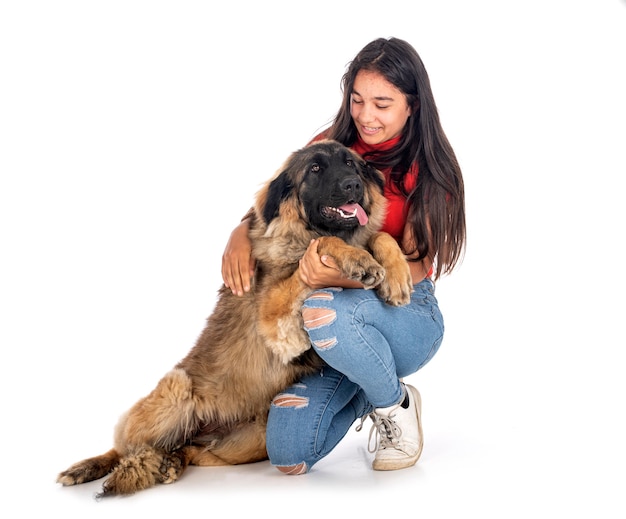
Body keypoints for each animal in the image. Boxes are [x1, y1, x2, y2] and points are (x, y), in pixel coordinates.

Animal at [56, 140, 412, 498]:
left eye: (351, 164)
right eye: (315, 169)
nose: (352, 185)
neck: (301, 233)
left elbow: (380, 237)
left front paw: (395, 274)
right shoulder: (274, 314)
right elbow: (327, 241)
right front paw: (359, 260)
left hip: (251, 440)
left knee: (191, 450)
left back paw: (171, 462)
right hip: (177, 390)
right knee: (123, 448)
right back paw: (88, 467)